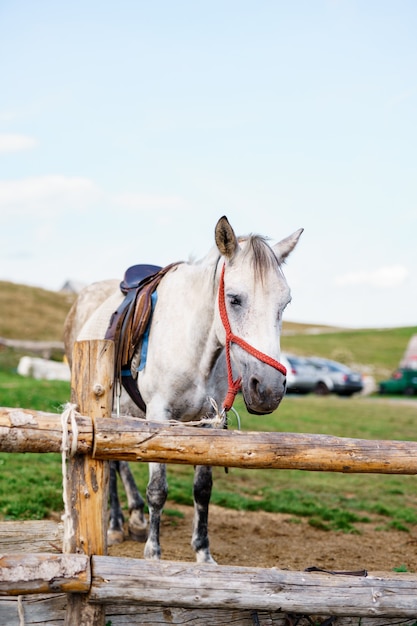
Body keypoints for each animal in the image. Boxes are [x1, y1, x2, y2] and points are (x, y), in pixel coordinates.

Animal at [63, 214, 300, 560]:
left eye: (285, 303)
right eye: (234, 299)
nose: (268, 389)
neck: (196, 346)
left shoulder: (211, 422)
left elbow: (203, 490)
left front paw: (203, 552)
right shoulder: (159, 417)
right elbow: (158, 490)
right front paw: (153, 553)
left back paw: (132, 519)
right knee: (112, 462)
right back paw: (117, 523)